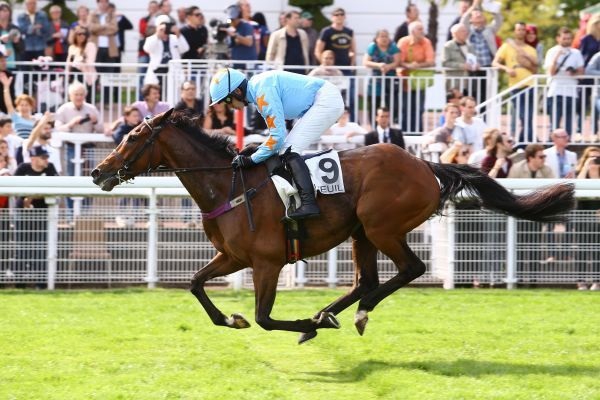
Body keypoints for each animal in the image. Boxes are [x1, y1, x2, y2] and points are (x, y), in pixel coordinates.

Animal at [91, 110, 576, 344]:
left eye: (132, 137)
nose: (98, 172)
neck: (228, 185)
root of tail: (424, 164)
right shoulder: (232, 256)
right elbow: (195, 284)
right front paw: (233, 318)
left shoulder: (267, 262)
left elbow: (265, 318)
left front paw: (292, 321)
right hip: (362, 233)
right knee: (367, 280)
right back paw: (326, 315)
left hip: (382, 227)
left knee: (410, 270)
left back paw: (340, 316)